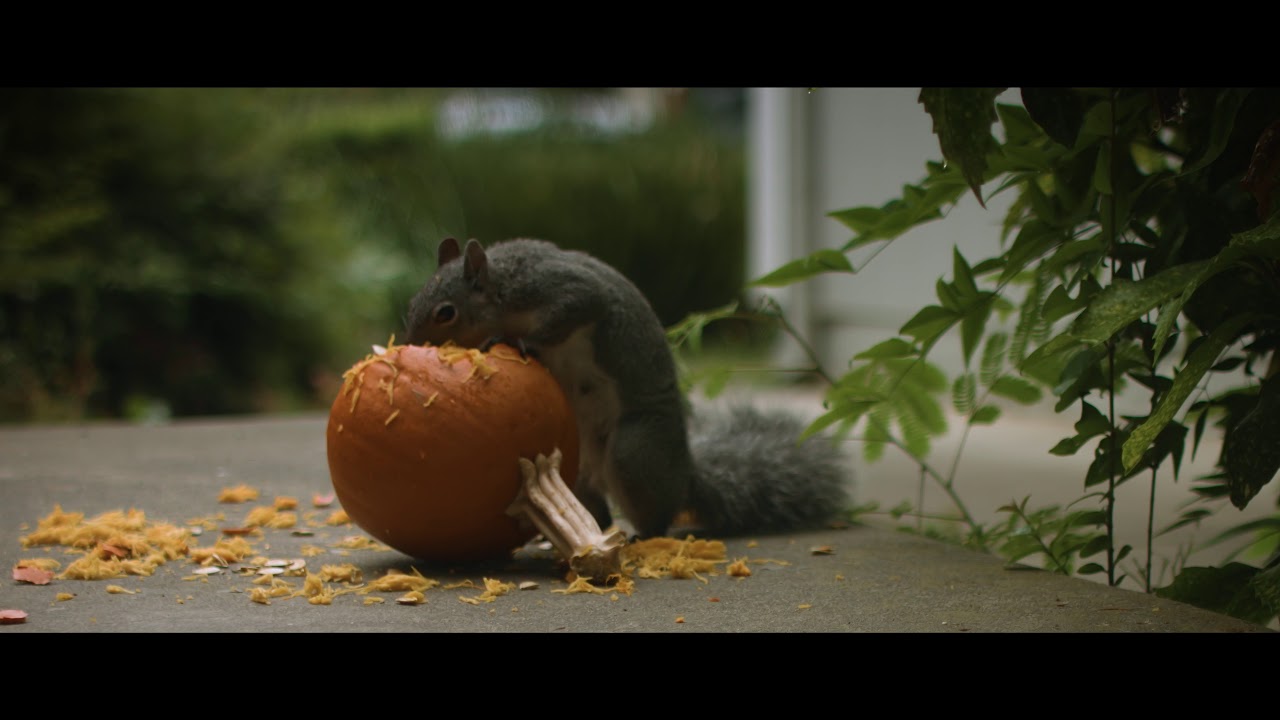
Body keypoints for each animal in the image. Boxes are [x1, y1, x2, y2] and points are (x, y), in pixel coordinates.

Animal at [405, 237, 851, 539]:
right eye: (412, 301)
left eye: (446, 313)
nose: (412, 343)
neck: (501, 284)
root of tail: (685, 473)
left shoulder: (560, 289)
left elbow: (576, 307)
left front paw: (520, 342)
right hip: (576, 470)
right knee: (594, 511)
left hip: (634, 451)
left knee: (657, 512)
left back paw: (643, 535)